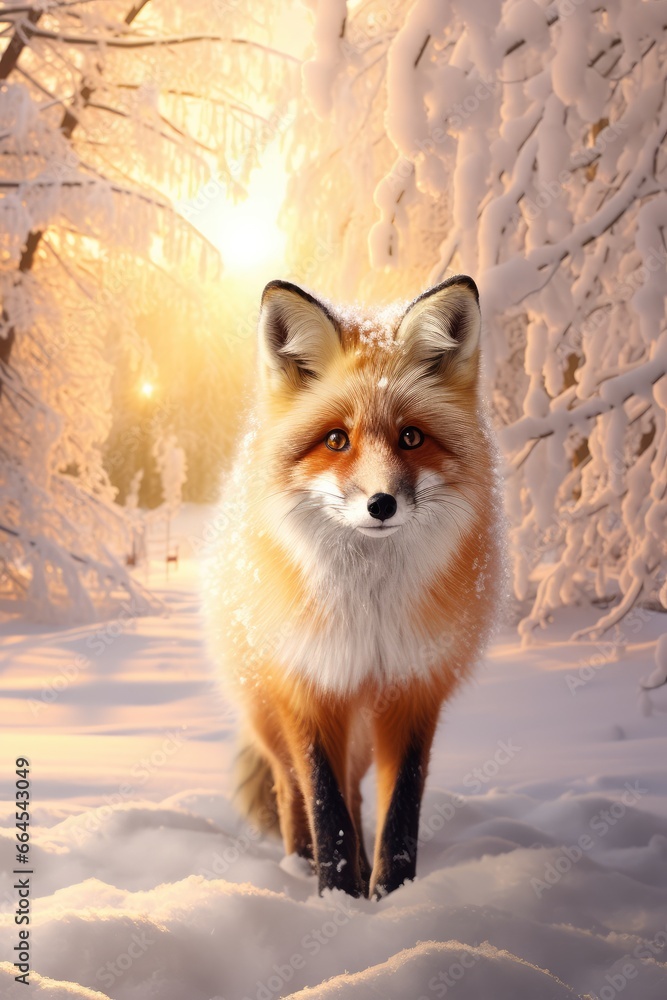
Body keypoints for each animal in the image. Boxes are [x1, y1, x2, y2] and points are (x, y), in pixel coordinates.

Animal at [203, 275, 504, 899]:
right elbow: (326, 806)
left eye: (411, 437)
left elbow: (400, 813)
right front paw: (337, 897)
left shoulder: (414, 687)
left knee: (358, 792)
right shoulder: (308, 684)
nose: (381, 504)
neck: (369, 612)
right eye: (337, 440)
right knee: (291, 791)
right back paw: (297, 866)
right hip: (270, 714)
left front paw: (391, 896)